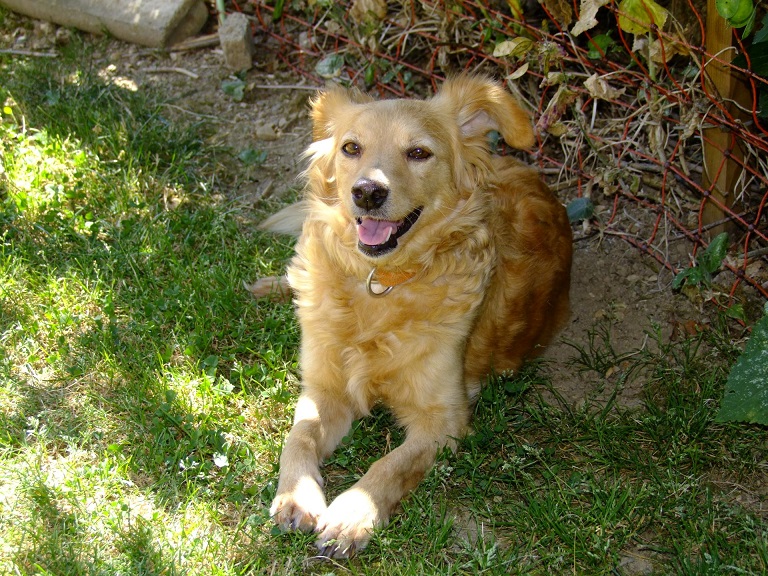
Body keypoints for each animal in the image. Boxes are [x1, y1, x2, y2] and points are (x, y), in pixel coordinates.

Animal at [257, 74, 573, 558]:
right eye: (351, 148)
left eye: (419, 152)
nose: (367, 192)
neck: (381, 282)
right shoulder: (324, 388)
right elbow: (299, 436)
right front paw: (296, 496)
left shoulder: (443, 419)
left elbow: (391, 464)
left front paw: (353, 514)